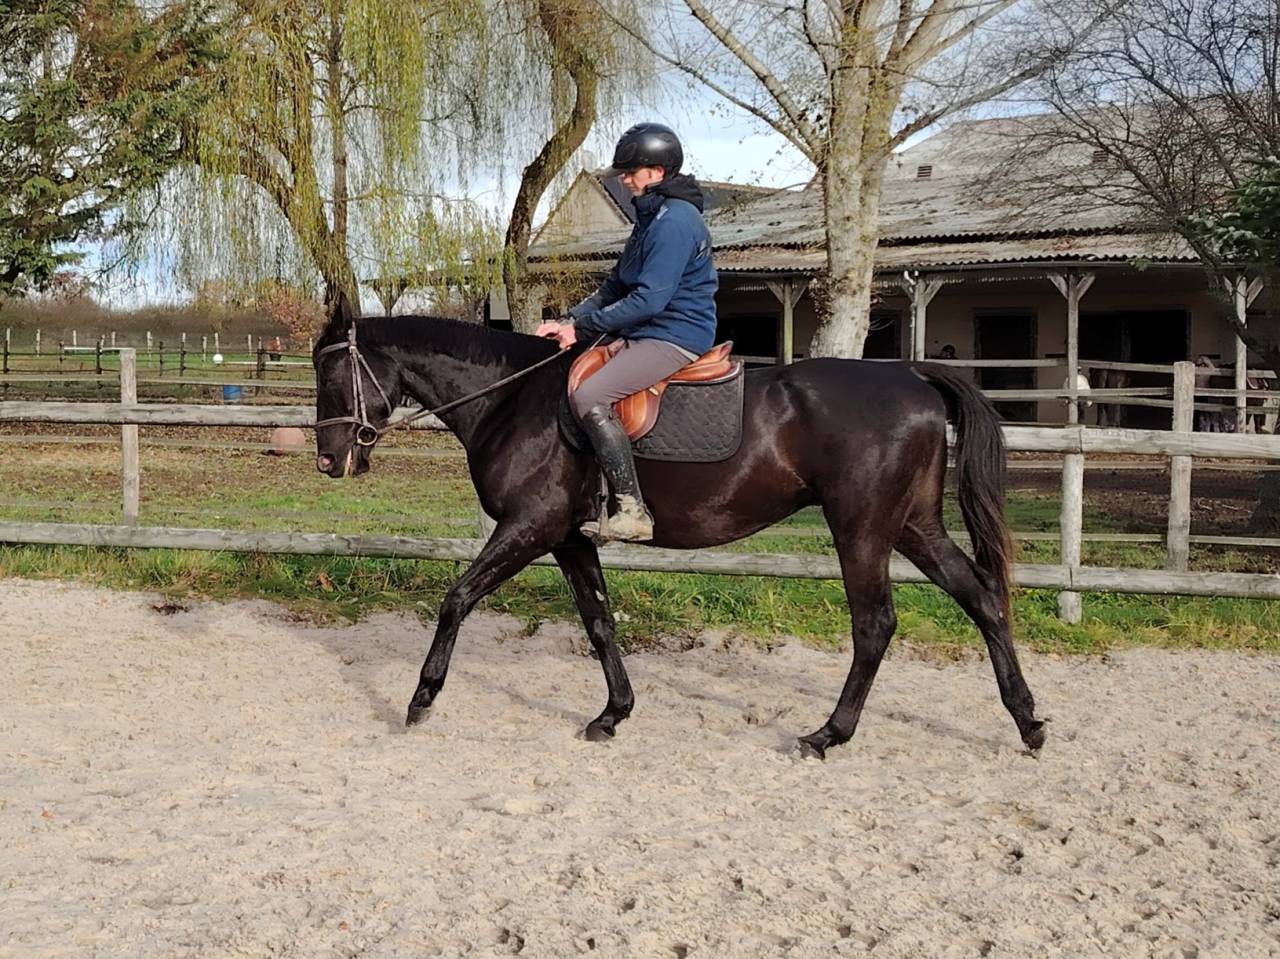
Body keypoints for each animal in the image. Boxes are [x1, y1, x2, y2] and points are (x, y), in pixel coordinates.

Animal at [312, 297, 1046, 757]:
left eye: (330, 371)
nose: (329, 460)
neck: (512, 397)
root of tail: (912, 375)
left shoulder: (530, 527)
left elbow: (456, 597)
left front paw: (421, 698)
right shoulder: (569, 538)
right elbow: (599, 622)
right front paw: (613, 713)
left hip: (861, 527)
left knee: (874, 625)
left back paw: (827, 734)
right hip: (913, 525)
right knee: (981, 598)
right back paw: (1028, 722)